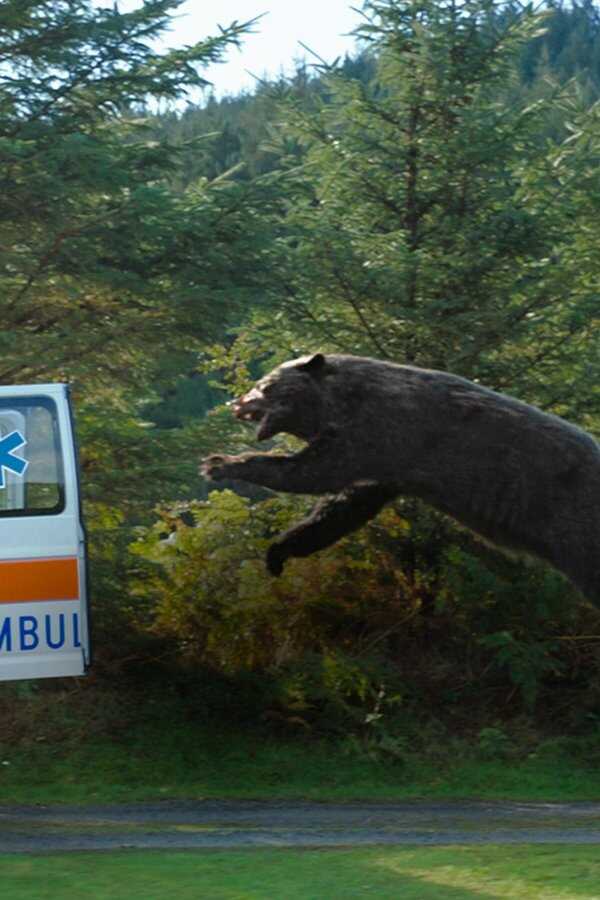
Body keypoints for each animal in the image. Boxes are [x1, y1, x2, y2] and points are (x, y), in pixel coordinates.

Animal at [201, 352, 600, 605]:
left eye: (264, 384)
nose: (237, 403)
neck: (343, 404)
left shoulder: (377, 434)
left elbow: (310, 474)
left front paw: (220, 464)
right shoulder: (381, 469)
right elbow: (340, 510)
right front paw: (279, 552)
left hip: (575, 527)